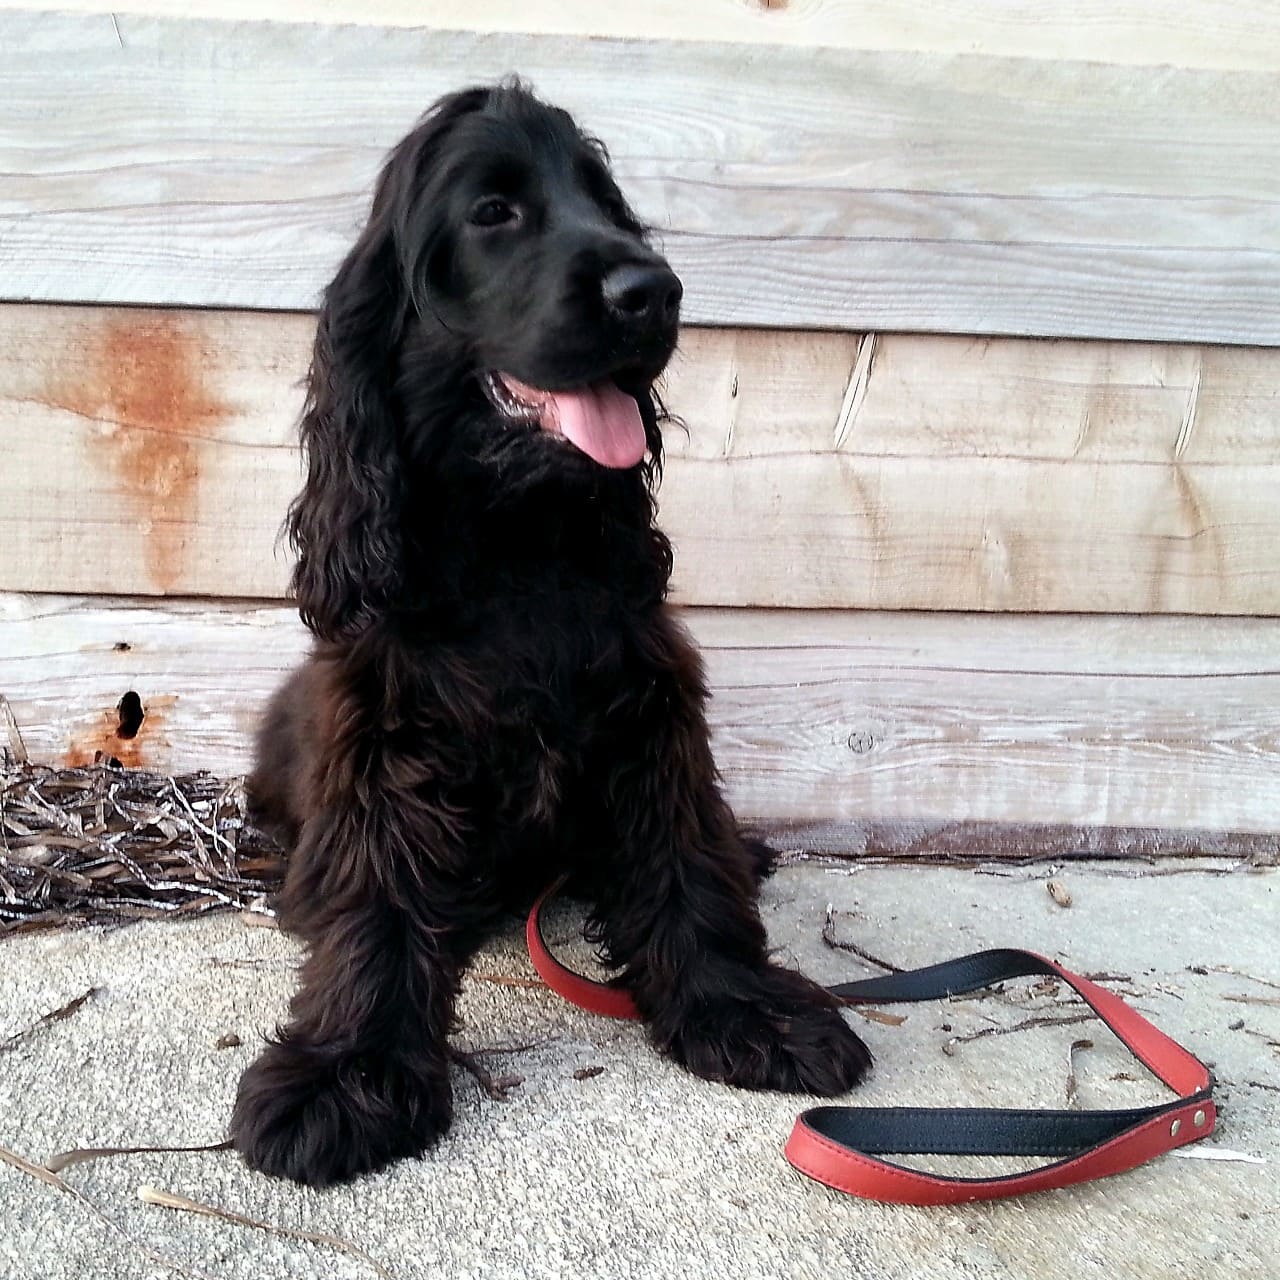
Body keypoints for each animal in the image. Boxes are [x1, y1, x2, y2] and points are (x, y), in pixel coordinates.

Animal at [231, 82, 872, 1187]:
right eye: (494, 213)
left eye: (609, 206)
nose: (652, 291)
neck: (517, 537)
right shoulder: (388, 739)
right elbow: (377, 902)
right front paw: (346, 1075)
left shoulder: (648, 713)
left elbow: (681, 860)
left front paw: (745, 1009)